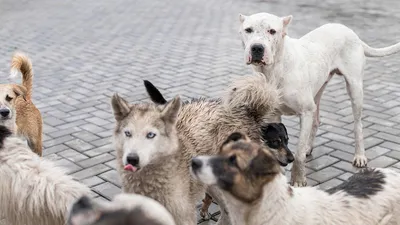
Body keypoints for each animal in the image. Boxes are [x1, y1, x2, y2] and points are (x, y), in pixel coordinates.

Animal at [111, 73, 290, 225]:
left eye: (151, 135)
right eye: (128, 133)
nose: (132, 159)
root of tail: (249, 113)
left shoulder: (183, 215)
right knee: (226, 211)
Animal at [239, 12, 400, 187]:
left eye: (272, 31)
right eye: (248, 30)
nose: (257, 48)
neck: (274, 70)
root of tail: (350, 31)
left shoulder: (305, 112)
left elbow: (298, 154)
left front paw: (298, 179)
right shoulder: (274, 115)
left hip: (355, 88)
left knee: (358, 125)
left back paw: (359, 155)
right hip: (318, 90)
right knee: (316, 121)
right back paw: (309, 147)